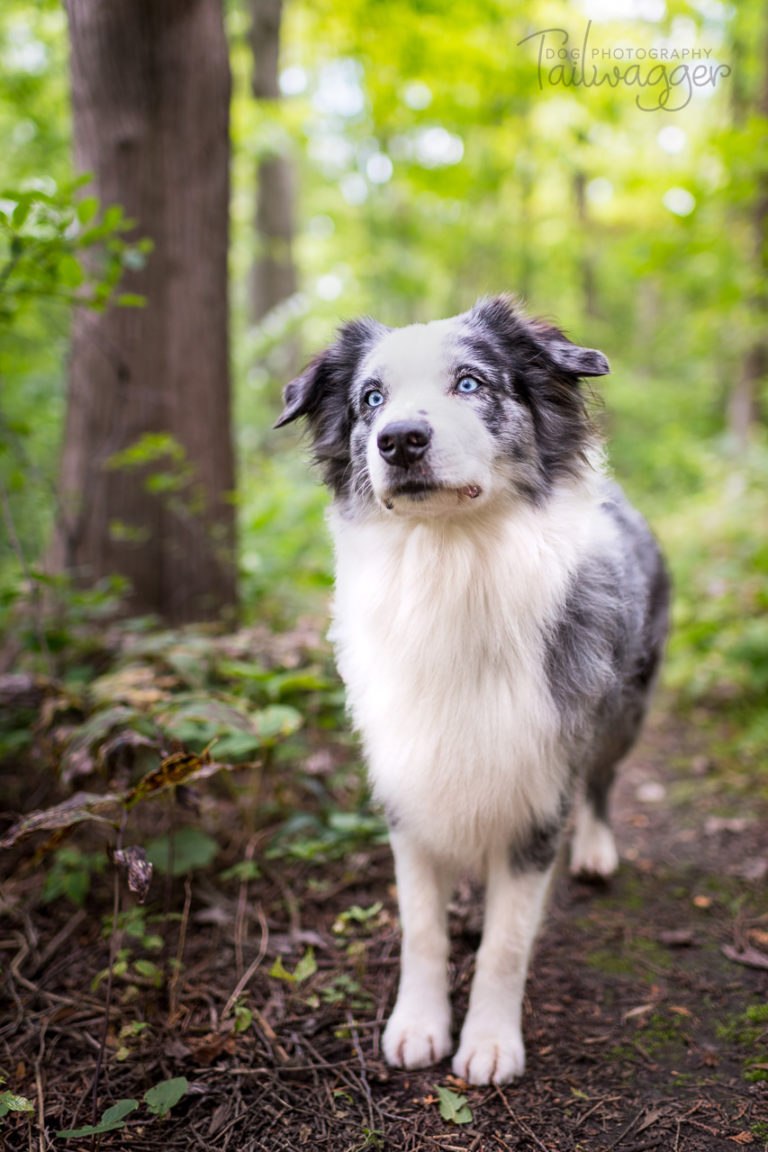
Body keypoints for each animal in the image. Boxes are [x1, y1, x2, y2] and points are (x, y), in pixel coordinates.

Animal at [275, 294, 667, 1078]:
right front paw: (418, 1025)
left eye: (469, 383)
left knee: (603, 780)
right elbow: (420, 927)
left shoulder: (540, 788)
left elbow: (506, 944)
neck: (451, 565)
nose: (399, 440)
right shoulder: (406, 779)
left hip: (624, 708)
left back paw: (596, 850)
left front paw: (489, 1043)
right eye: (371, 399)